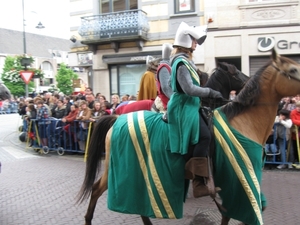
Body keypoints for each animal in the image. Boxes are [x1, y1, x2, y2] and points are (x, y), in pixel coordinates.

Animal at [77, 48, 300, 224]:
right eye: (293, 70)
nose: (246, 81)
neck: (244, 123)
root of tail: (116, 118)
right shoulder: (239, 178)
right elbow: (235, 211)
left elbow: (231, 212)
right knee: (97, 190)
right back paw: (87, 219)